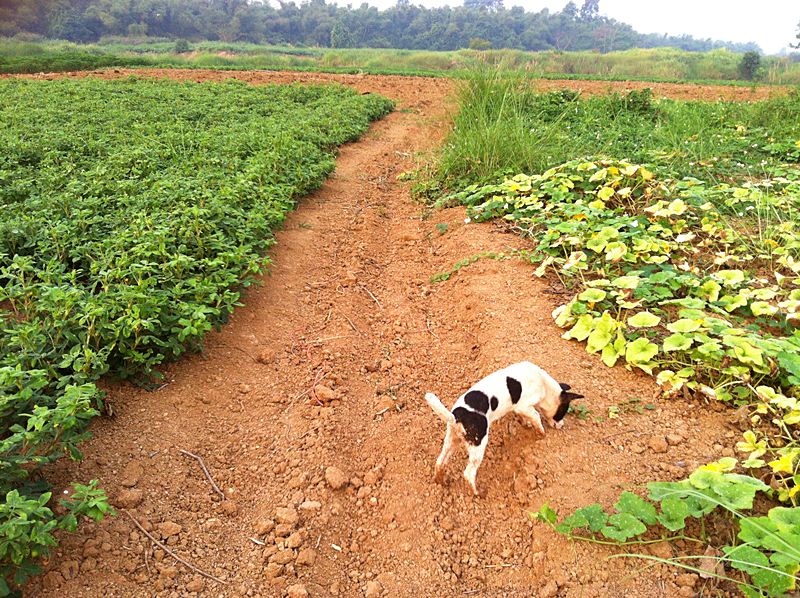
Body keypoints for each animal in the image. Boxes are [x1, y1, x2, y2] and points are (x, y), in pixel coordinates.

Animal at [424, 366, 588, 496]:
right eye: (563, 412)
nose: (562, 426)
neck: (544, 384)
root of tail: (457, 417)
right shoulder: (524, 406)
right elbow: (536, 418)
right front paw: (541, 435)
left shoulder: (518, 409)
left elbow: (524, 418)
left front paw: (526, 424)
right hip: (478, 445)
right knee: (468, 474)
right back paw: (477, 493)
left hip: (451, 441)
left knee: (440, 462)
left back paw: (440, 481)